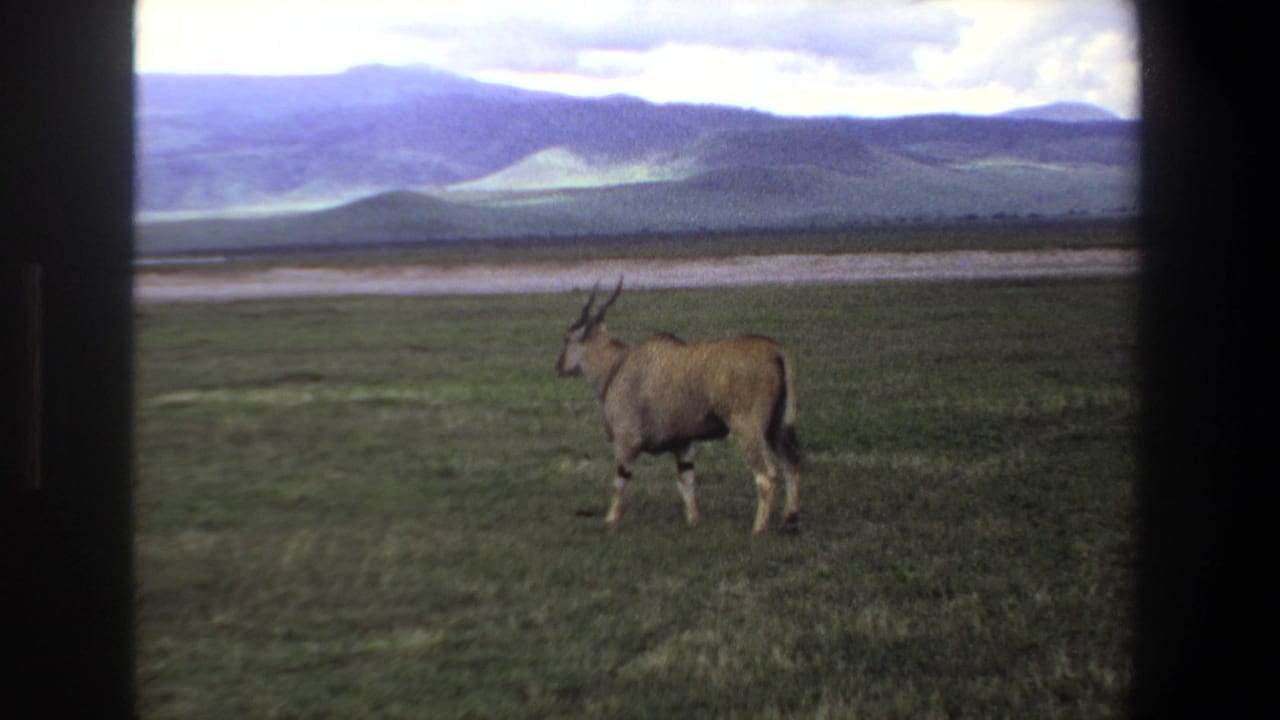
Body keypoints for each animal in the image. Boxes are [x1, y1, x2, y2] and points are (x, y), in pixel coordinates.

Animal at [556, 279, 802, 534]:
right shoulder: (683, 444)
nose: (559, 366)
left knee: (767, 475)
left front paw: (610, 519)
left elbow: (620, 479)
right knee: (792, 462)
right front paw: (694, 520)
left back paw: (758, 529)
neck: (618, 365)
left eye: (567, 338)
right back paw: (790, 519)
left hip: (747, 428)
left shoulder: (627, 441)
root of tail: (776, 351)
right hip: (776, 427)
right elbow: (687, 481)